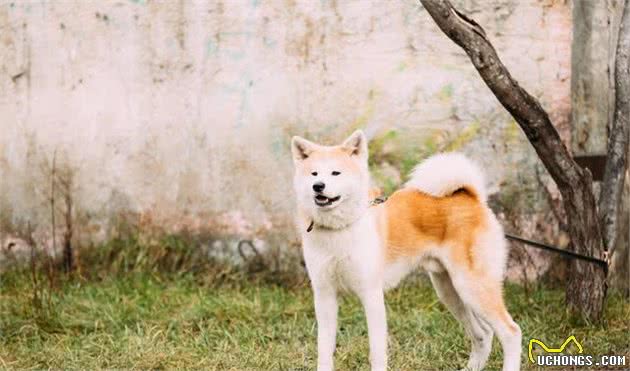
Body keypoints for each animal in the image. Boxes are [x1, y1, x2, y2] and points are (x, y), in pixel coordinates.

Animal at [292, 131, 524, 371]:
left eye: (336, 172)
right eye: (314, 173)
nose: (318, 186)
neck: (339, 229)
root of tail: (469, 196)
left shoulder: (371, 295)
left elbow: (376, 351)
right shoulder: (324, 296)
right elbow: (324, 350)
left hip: (472, 287)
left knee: (511, 332)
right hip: (450, 292)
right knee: (484, 334)